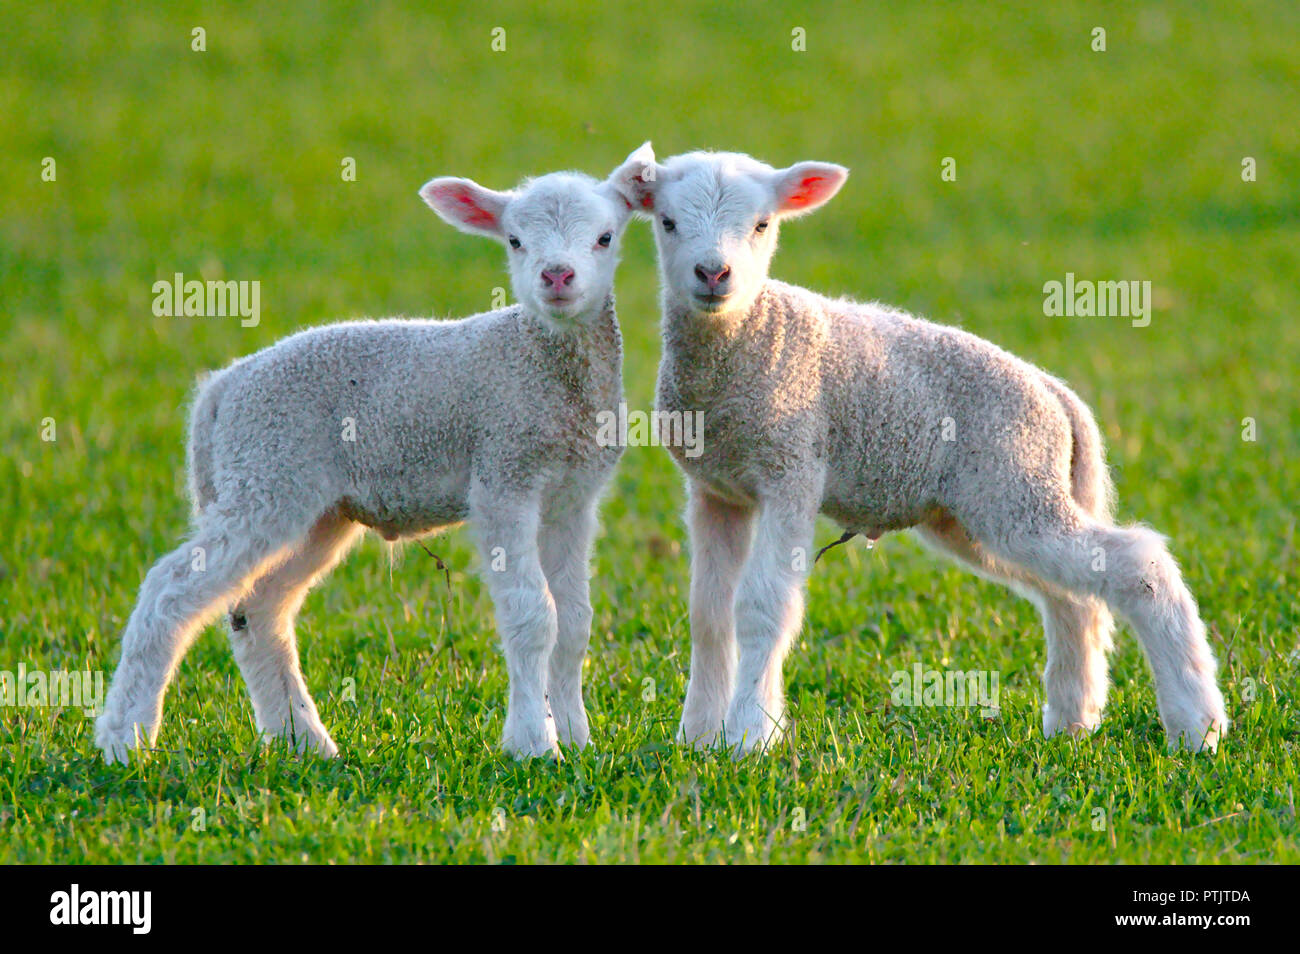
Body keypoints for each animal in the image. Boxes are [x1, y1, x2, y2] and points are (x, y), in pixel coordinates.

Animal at [91, 145, 650, 764]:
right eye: (514, 241)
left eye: (604, 236)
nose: (557, 276)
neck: (541, 363)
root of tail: (220, 391)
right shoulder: (504, 476)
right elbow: (533, 616)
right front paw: (533, 744)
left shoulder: (573, 497)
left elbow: (574, 621)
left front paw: (576, 738)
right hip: (267, 472)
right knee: (168, 591)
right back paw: (125, 739)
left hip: (314, 508)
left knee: (258, 612)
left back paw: (304, 741)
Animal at [618, 143, 1227, 753]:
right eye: (667, 223)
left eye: (763, 224)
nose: (712, 273)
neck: (745, 338)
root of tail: (1058, 397)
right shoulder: (717, 489)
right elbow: (708, 615)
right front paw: (697, 739)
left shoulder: (790, 470)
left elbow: (762, 608)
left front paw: (749, 739)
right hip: (984, 511)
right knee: (1072, 597)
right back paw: (1072, 723)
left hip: (1016, 484)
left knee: (1138, 563)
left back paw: (1196, 727)